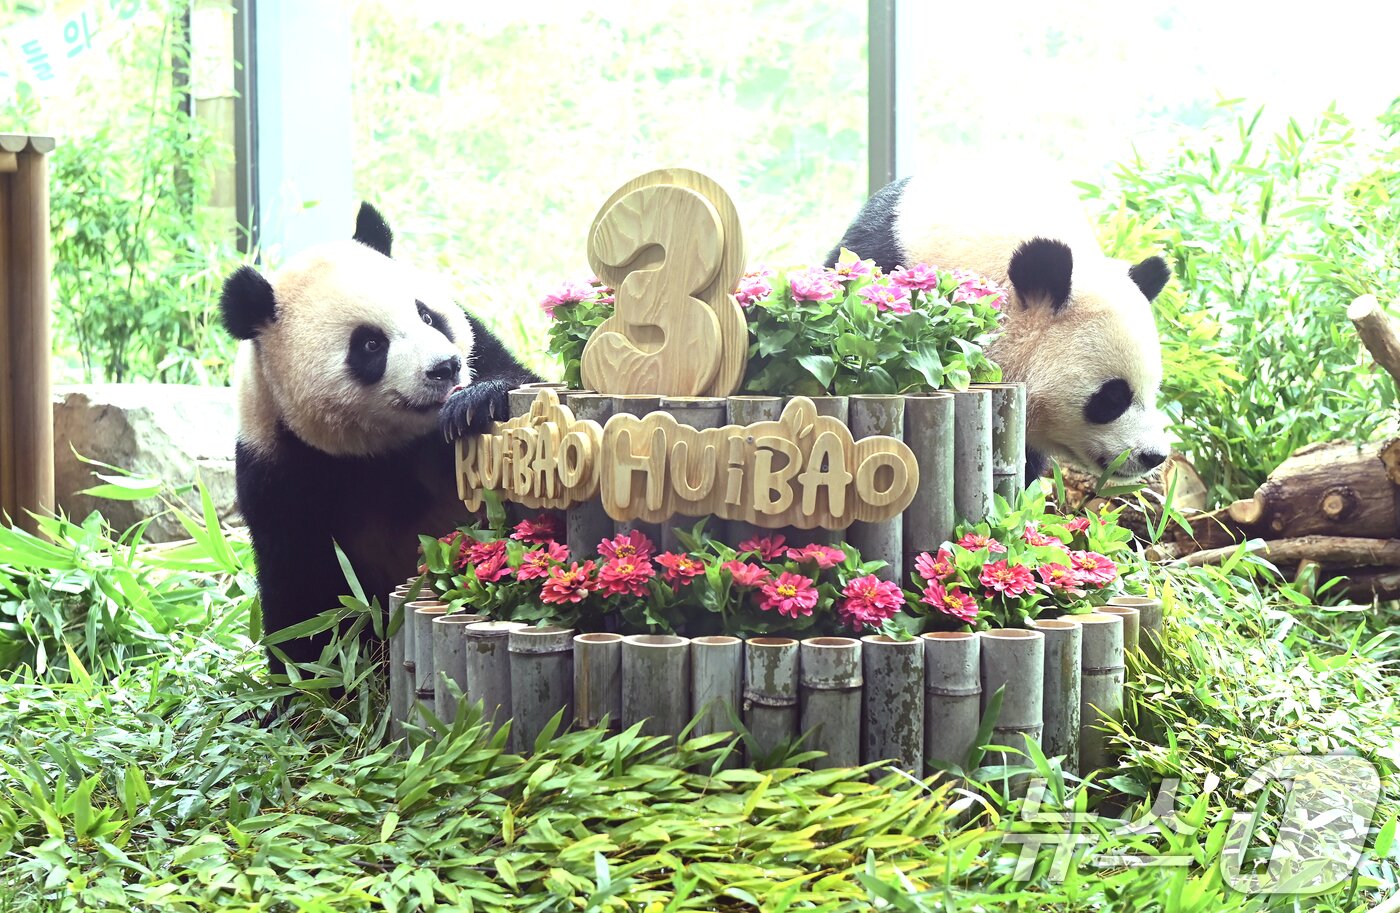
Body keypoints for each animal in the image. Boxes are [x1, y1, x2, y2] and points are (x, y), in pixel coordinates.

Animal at [219, 203, 540, 675]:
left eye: (427, 316)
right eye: (370, 344)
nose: (445, 367)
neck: (386, 448)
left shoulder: (482, 353)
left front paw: (476, 403)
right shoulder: (281, 473)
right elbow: (303, 598)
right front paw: (318, 684)